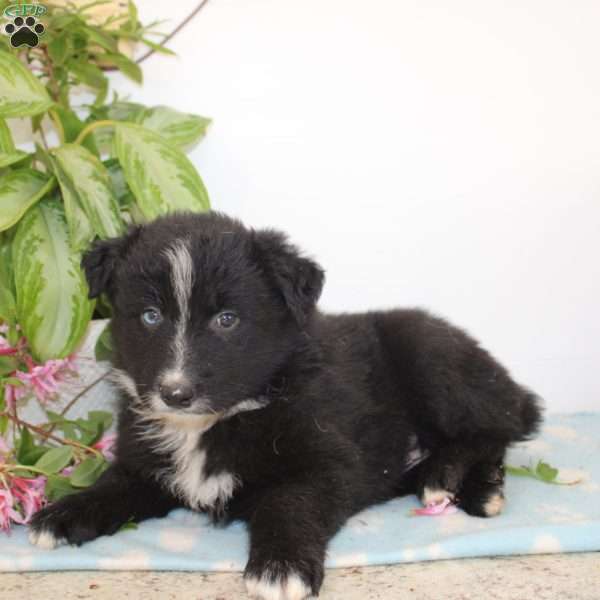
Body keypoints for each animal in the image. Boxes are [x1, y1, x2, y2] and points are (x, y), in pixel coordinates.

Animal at [30, 212, 540, 600]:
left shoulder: (328, 461)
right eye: (150, 316)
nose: (175, 393)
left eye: (227, 320)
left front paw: (280, 566)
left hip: (430, 353)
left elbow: (289, 502)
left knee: (495, 429)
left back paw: (462, 482)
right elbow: (112, 486)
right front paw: (64, 514)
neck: (213, 423)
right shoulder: (144, 464)